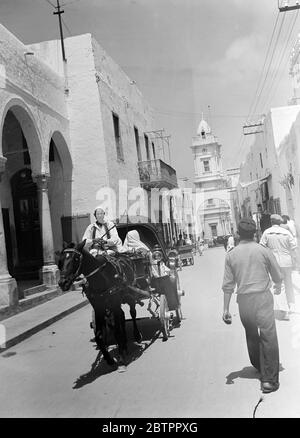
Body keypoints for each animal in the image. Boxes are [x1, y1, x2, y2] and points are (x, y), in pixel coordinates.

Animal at [57, 240, 148, 370]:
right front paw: (109, 359)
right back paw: (125, 344)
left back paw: (136, 336)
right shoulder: (98, 307)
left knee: (132, 313)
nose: (62, 283)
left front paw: (121, 355)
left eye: (75, 259)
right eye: (60, 261)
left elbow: (117, 331)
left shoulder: (114, 303)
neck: (101, 278)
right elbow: (99, 336)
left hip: (130, 294)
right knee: (121, 317)